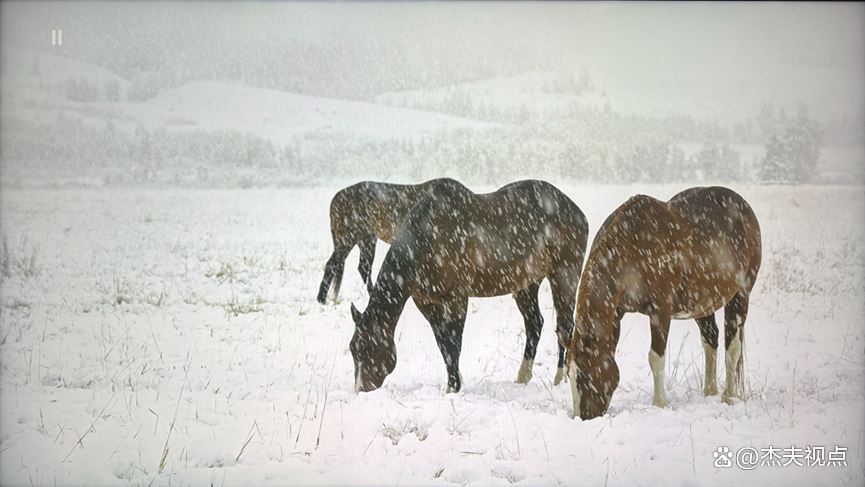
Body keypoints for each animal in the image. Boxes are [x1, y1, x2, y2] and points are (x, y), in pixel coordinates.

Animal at [316, 178, 452, 304]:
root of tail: (336, 198)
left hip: (366, 240)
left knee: (362, 268)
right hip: (349, 240)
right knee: (333, 264)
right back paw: (321, 300)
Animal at [350, 179, 588, 392]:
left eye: (368, 347)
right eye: (353, 348)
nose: (361, 389)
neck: (429, 237)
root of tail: (577, 211)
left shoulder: (457, 299)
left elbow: (454, 345)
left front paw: (453, 387)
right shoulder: (426, 303)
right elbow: (443, 344)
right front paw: (454, 382)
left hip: (564, 276)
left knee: (565, 327)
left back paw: (560, 378)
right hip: (526, 285)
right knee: (534, 324)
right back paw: (523, 377)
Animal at [572, 187, 760, 420]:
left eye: (585, 375)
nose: (582, 418)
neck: (631, 245)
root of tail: (743, 206)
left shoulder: (660, 311)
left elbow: (656, 358)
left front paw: (659, 403)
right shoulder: (616, 314)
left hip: (741, 294)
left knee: (732, 347)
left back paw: (728, 396)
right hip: (703, 303)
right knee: (711, 340)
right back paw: (709, 392)